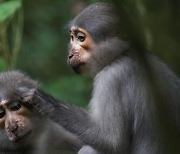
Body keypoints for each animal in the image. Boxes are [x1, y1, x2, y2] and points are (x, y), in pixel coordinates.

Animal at [22, 2, 180, 154]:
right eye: (72, 37)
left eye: (80, 38)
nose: (70, 54)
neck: (122, 54)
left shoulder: (110, 78)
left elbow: (111, 140)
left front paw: (46, 102)